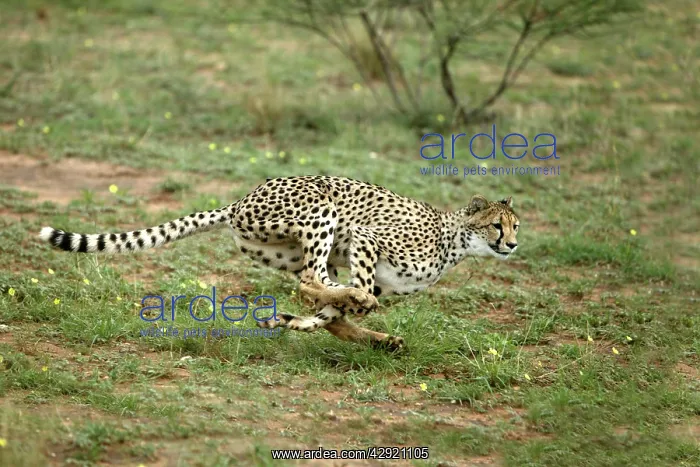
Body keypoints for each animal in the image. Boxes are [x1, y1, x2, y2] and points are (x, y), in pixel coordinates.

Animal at [39, 175, 520, 351]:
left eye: (516, 226)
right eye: (497, 225)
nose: (512, 245)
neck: (454, 239)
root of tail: (239, 201)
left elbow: (330, 316)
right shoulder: (367, 238)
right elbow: (354, 291)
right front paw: (357, 306)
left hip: (290, 246)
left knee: (314, 286)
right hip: (322, 211)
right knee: (310, 279)